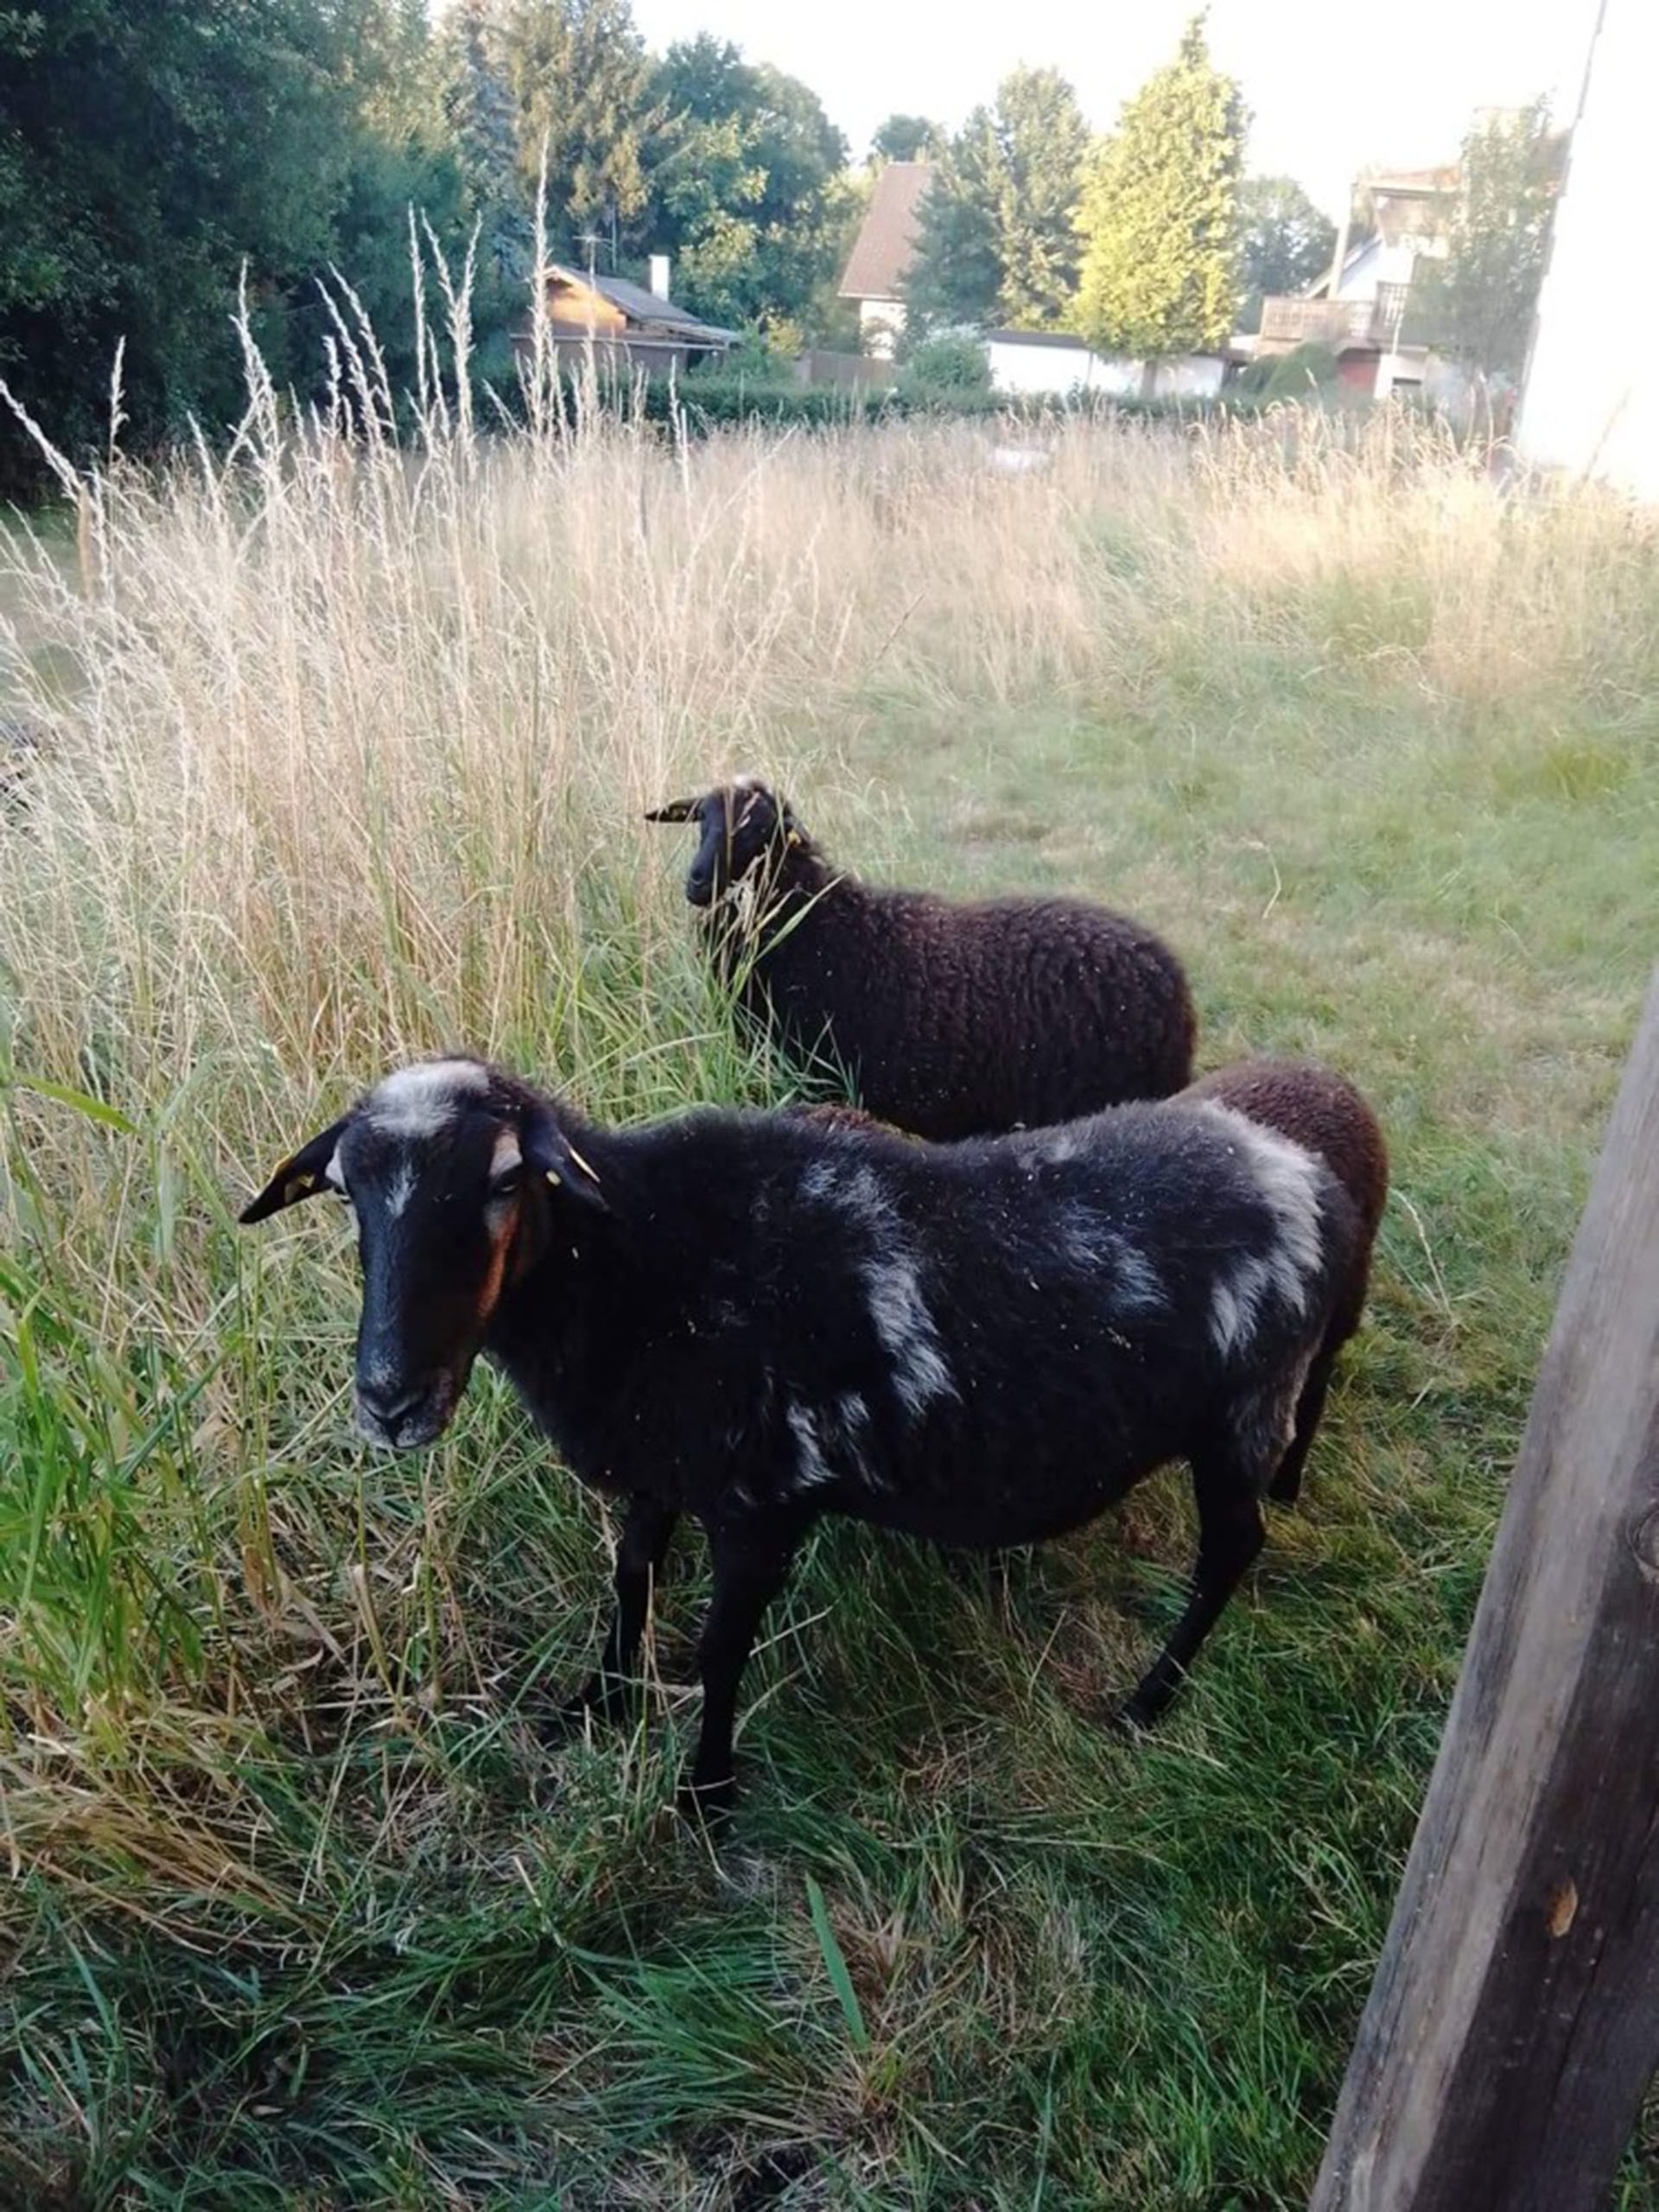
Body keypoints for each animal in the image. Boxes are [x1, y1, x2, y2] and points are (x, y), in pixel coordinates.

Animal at [240, 1051, 1372, 1815]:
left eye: (508, 1181)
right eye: (345, 1193)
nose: (390, 1399)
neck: (643, 1273)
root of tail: (1305, 1174)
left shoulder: (762, 1499)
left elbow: (719, 1643)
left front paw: (703, 1793)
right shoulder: (661, 1466)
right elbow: (630, 1579)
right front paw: (593, 1704)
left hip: (1243, 1407)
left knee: (1232, 1549)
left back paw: (1147, 1701)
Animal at [645, 778, 1195, 1140]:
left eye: (759, 831)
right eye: (700, 821)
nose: (696, 881)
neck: (811, 919)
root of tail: (1169, 975)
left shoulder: (816, 1076)